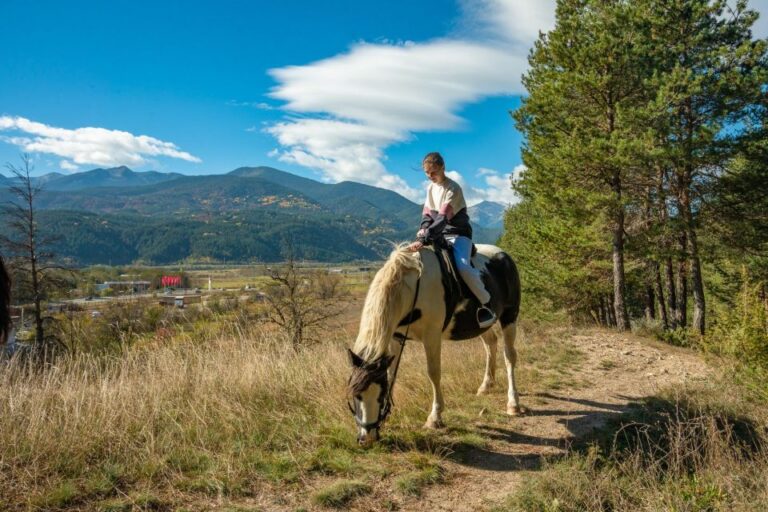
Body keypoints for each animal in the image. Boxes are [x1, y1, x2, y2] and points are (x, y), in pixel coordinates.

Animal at [346, 242, 520, 446]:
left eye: (380, 395)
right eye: (355, 395)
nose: (367, 438)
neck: (412, 289)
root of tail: (503, 255)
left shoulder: (432, 336)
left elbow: (433, 373)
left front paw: (435, 417)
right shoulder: (396, 338)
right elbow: (391, 374)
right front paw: (387, 417)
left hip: (509, 316)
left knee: (509, 356)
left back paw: (513, 403)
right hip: (482, 325)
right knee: (491, 343)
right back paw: (486, 386)